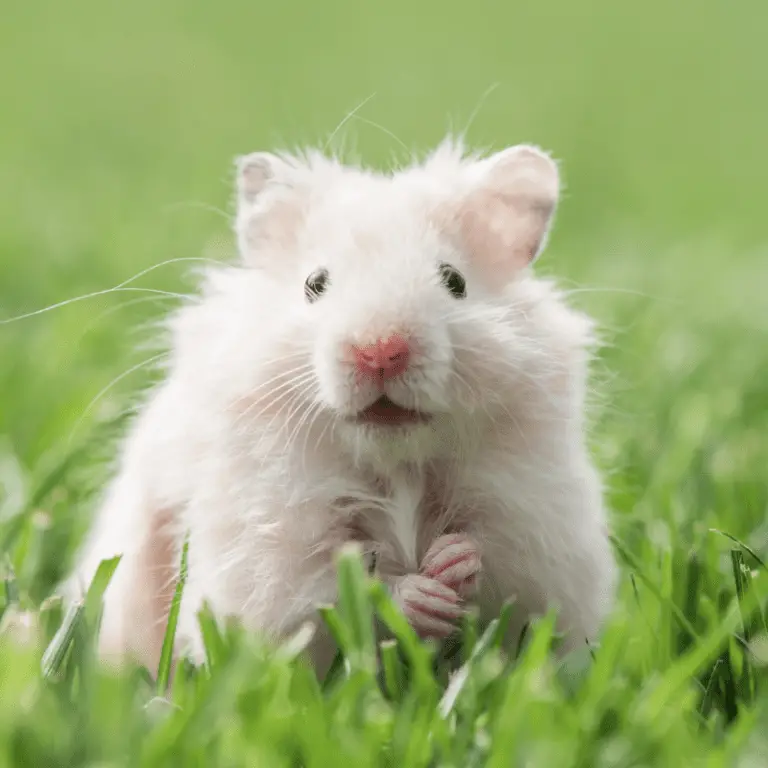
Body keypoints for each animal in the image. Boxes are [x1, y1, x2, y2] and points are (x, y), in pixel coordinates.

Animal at [62, 138, 617, 677]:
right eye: (315, 283)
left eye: (454, 281)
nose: (381, 350)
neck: (395, 460)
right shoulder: (269, 551)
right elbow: (335, 593)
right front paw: (420, 595)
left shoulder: (535, 529)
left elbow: (498, 566)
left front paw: (452, 560)